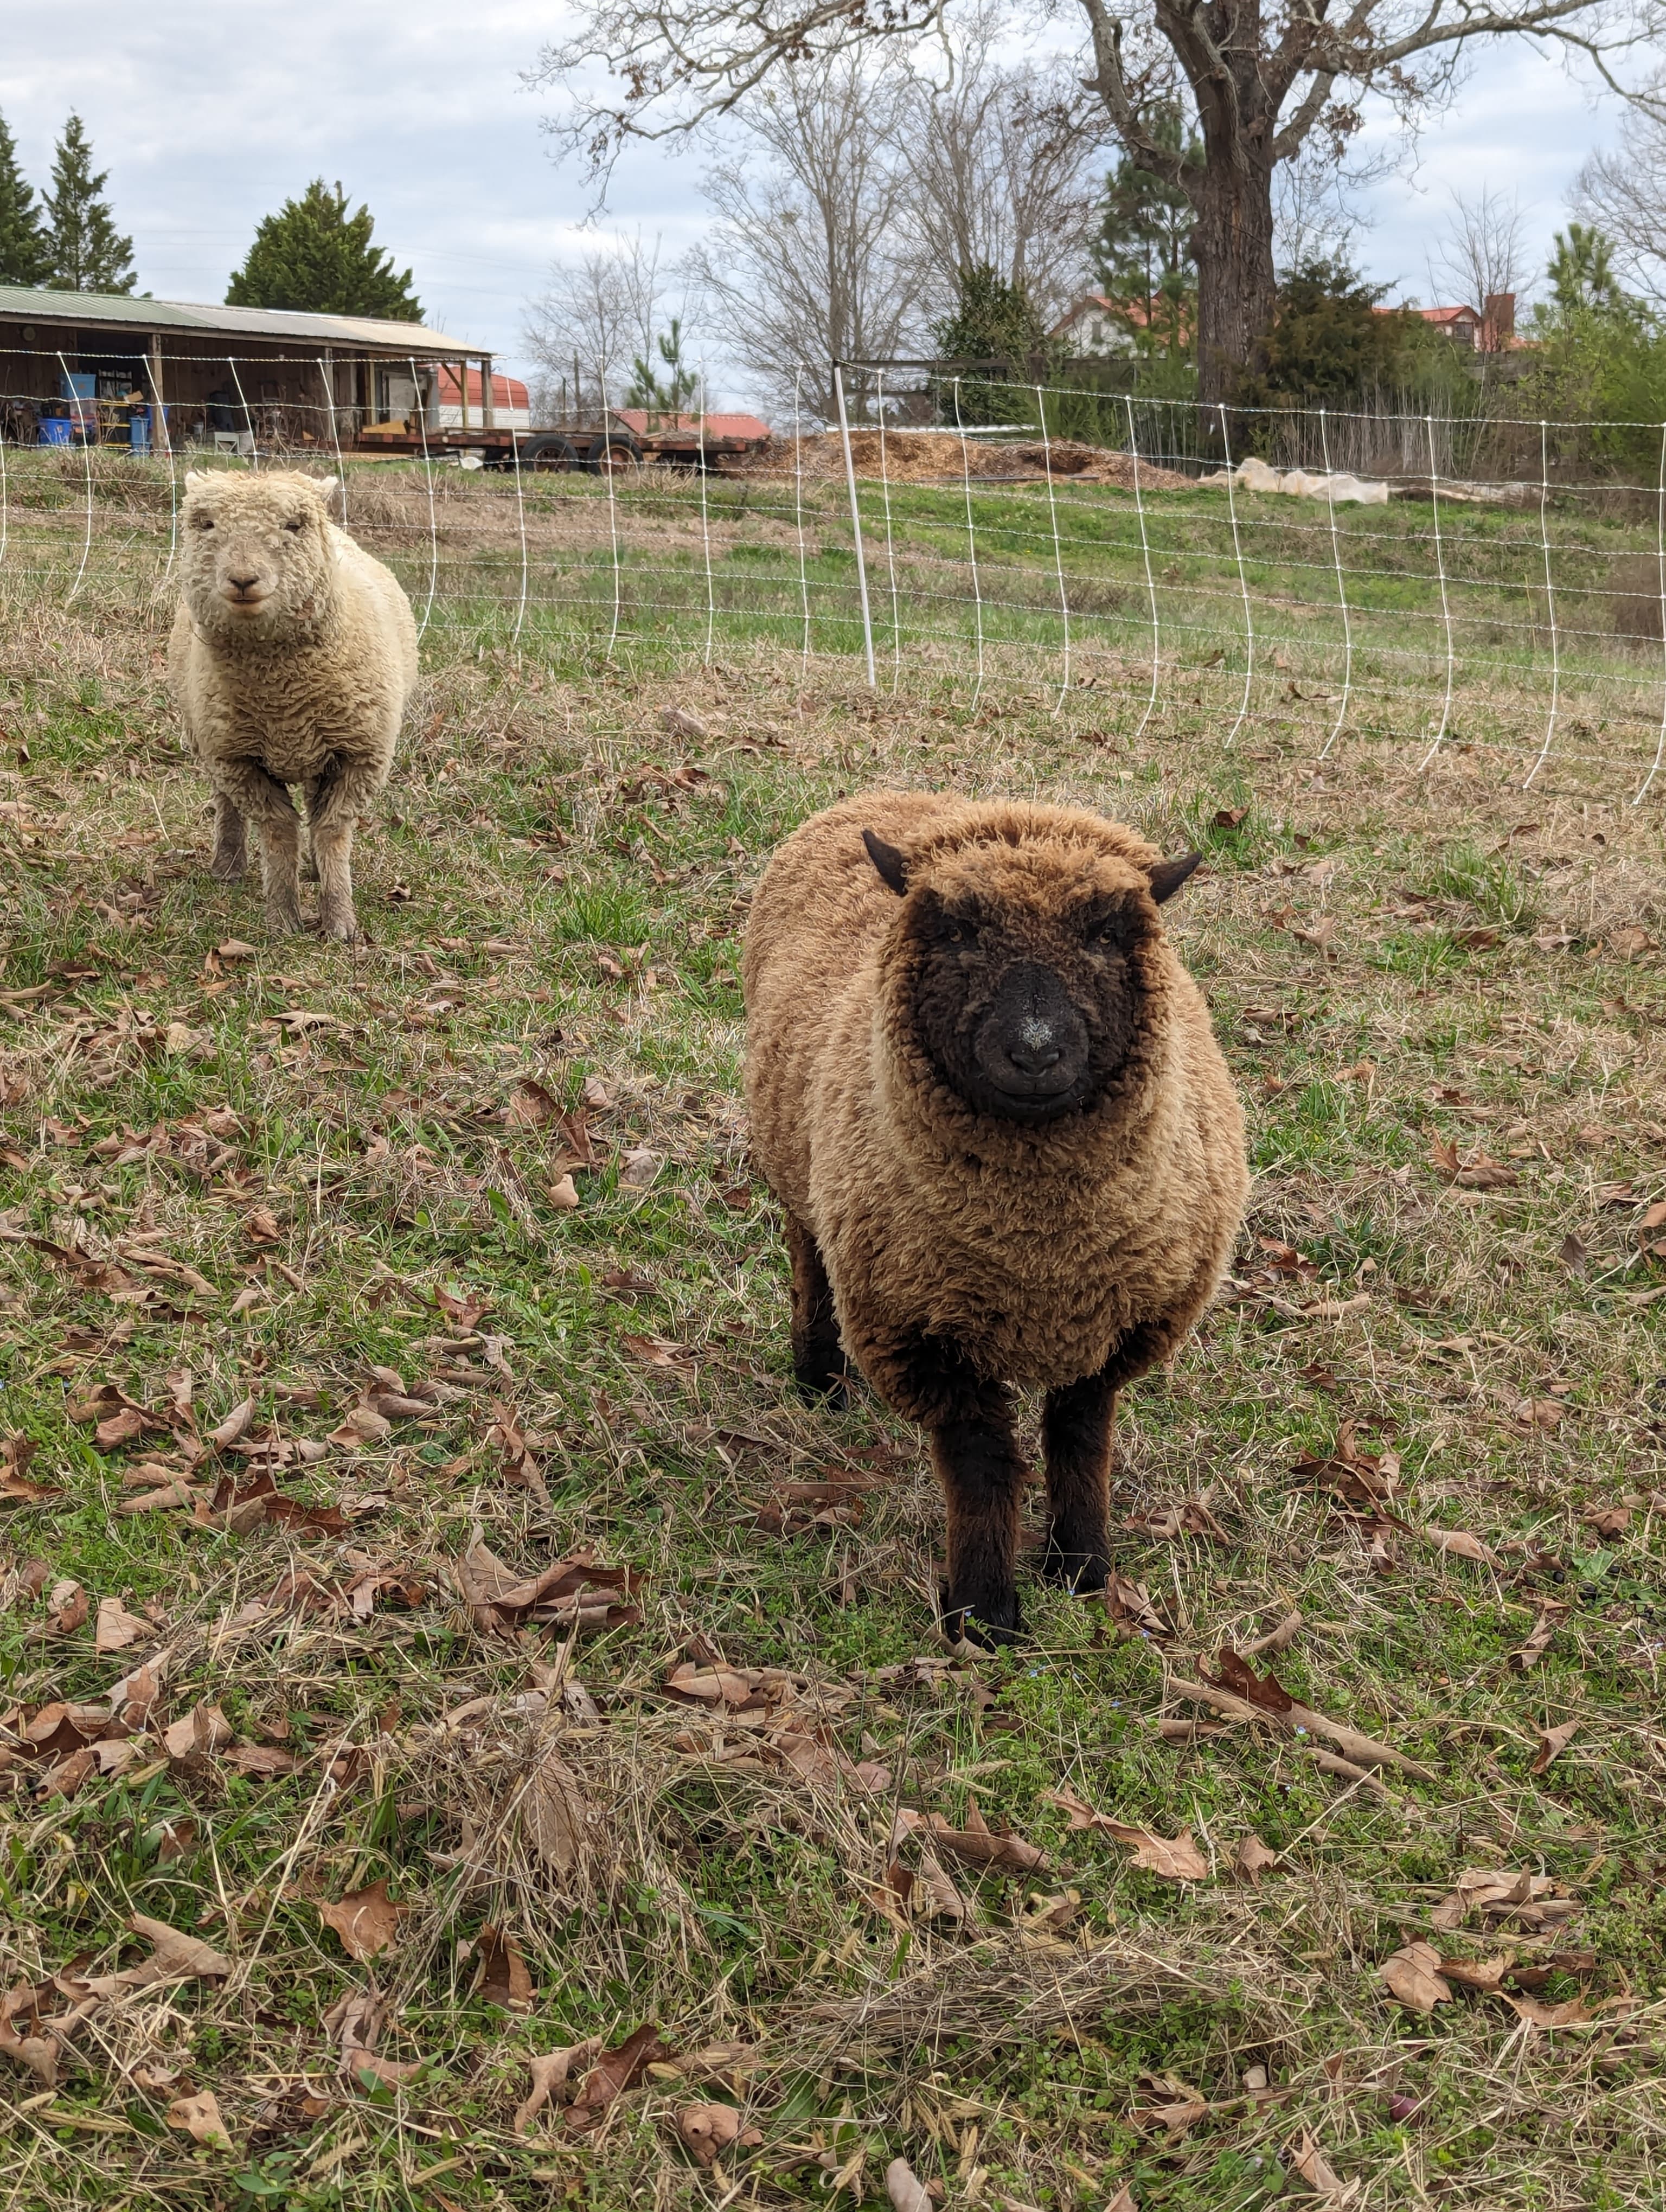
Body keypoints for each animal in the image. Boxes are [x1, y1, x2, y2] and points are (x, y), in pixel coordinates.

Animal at [167, 469, 418, 940]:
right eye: (205, 524)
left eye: (293, 525)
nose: (243, 579)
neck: (283, 700)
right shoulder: (238, 759)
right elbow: (279, 831)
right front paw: (284, 917)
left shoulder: (359, 755)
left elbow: (332, 829)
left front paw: (339, 920)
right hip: (207, 735)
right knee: (225, 801)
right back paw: (228, 864)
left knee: (317, 806)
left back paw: (317, 870)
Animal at [743, 791, 1249, 1647]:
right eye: (958, 932)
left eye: (1106, 934)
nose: (1036, 1052)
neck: (1035, 1251)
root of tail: (888, 795)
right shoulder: (918, 1331)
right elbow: (983, 1466)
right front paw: (984, 1614)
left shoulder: (1120, 1320)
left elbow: (1080, 1441)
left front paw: (1082, 1567)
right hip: (801, 1167)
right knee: (808, 1256)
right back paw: (818, 1380)